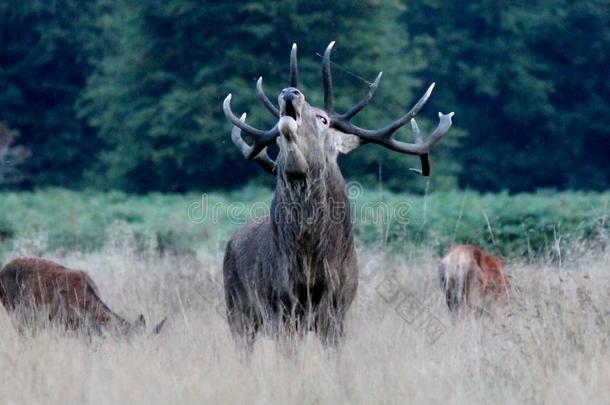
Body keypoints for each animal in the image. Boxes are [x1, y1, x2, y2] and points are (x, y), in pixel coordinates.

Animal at [222, 41, 452, 346]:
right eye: (277, 138)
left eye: (323, 119)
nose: (289, 92)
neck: (311, 262)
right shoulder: (282, 307)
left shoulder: (338, 307)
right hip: (237, 310)